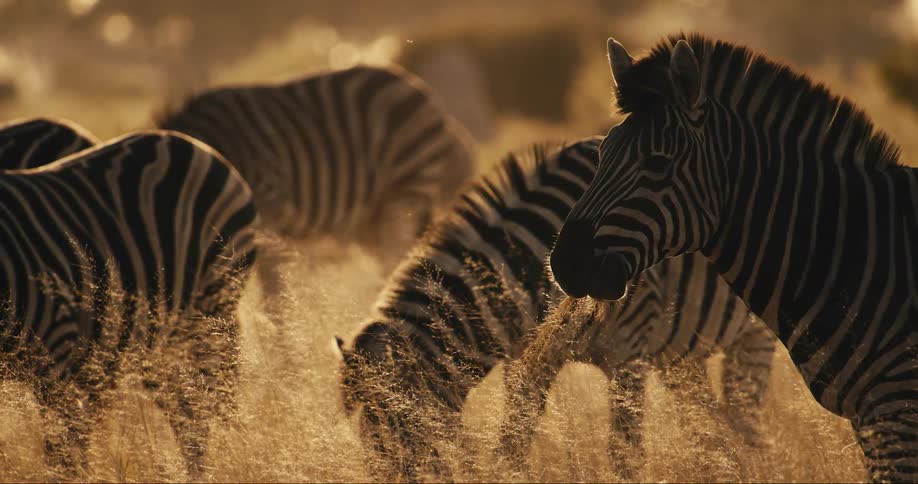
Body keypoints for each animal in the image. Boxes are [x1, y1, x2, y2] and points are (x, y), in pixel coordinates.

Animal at [0, 130, 257, 478]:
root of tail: (188, 142)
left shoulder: (56, 349)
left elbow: (64, 459)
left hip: (212, 311)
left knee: (215, 405)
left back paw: (237, 460)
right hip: (159, 343)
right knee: (190, 416)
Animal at [334, 138, 774, 480]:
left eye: (396, 426)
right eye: (365, 436)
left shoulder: (630, 354)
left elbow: (624, 457)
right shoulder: (527, 361)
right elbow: (512, 443)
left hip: (754, 337)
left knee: (748, 427)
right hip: (679, 358)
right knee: (715, 431)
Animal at [549, 33, 918, 482]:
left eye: (657, 163)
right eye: (602, 154)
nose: (565, 263)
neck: (859, 248)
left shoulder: (896, 410)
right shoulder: (870, 421)